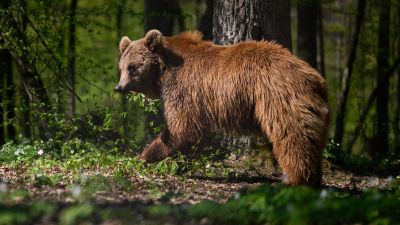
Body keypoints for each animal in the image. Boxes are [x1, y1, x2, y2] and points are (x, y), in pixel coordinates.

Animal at [115, 29, 328, 185]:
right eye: (122, 67)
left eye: (133, 67)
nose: (119, 87)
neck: (164, 71)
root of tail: (315, 77)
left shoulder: (184, 89)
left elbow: (182, 128)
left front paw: (144, 157)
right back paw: (313, 179)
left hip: (277, 97)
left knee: (292, 136)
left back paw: (294, 178)